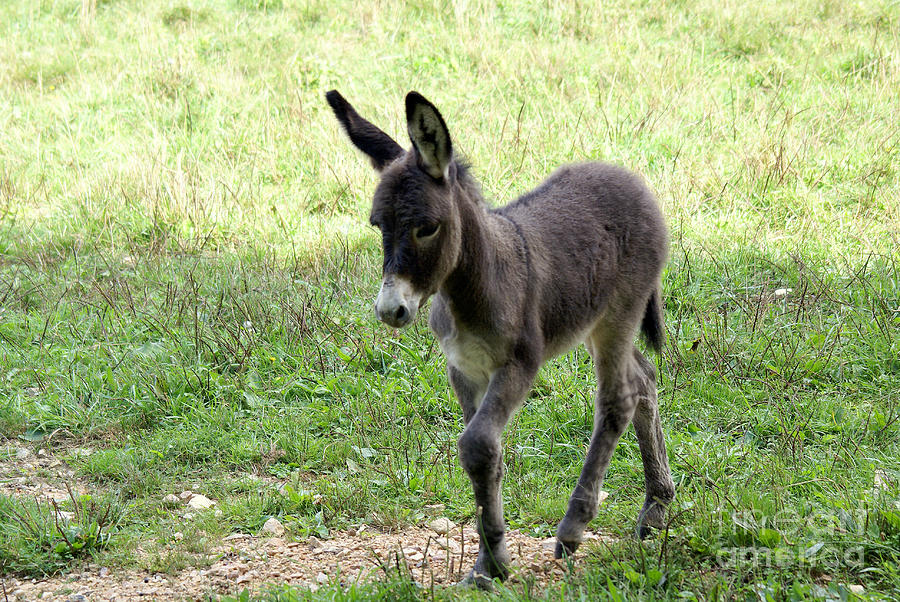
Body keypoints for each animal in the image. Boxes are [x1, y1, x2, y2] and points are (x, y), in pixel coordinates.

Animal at [326, 89, 672, 584]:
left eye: (426, 228)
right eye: (378, 225)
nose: (391, 310)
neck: (471, 286)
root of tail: (625, 176)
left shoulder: (519, 364)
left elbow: (477, 444)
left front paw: (492, 562)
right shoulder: (463, 370)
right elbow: (486, 455)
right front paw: (490, 561)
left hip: (621, 311)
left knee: (618, 399)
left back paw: (574, 528)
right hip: (597, 322)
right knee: (643, 380)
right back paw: (657, 508)